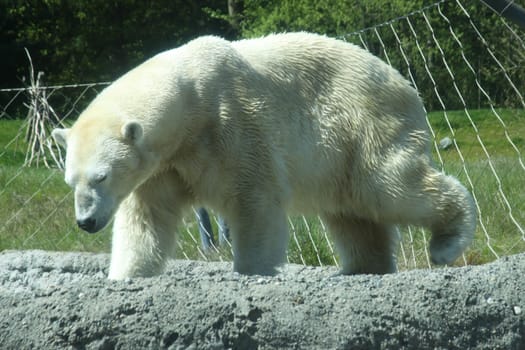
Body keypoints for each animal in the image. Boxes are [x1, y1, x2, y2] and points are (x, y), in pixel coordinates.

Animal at [52, 32, 474, 278]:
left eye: (102, 176)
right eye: (71, 180)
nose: (86, 222)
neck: (190, 97)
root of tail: (404, 83)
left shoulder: (232, 123)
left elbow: (254, 198)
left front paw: (252, 271)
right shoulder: (165, 164)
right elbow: (147, 218)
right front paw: (125, 276)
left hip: (365, 123)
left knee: (388, 186)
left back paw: (447, 241)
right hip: (342, 154)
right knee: (351, 209)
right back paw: (362, 268)